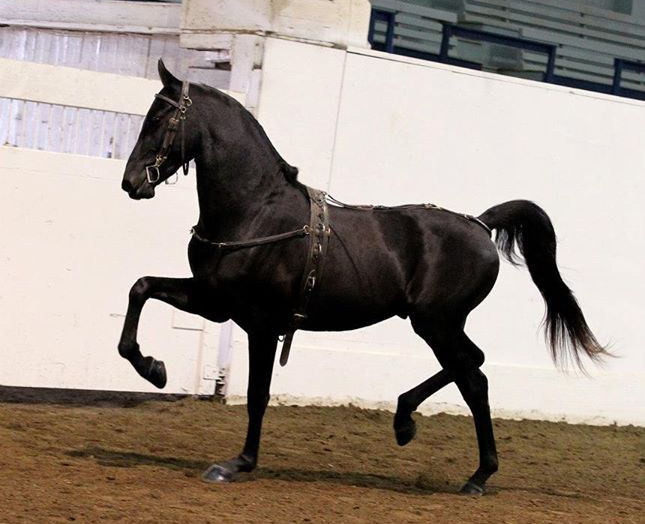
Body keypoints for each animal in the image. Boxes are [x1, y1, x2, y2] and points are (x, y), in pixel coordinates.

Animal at [118, 59, 607, 495]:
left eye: (158, 118)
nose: (130, 182)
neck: (256, 212)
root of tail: (480, 225)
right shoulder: (214, 302)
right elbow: (141, 288)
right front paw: (153, 369)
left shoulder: (260, 324)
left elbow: (258, 395)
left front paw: (237, 463)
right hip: (439, 324)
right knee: (473, 364)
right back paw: (407, 422)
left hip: (436, 323)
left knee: (474, 380)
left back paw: (475, 474)